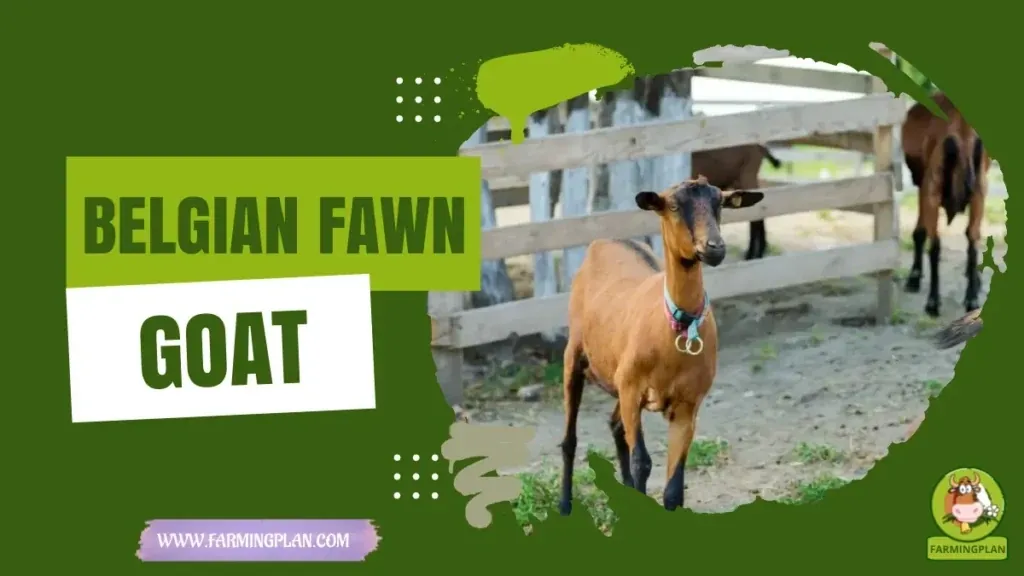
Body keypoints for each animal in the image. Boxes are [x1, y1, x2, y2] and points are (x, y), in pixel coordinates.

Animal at [558, 177, 764, 514]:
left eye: (720, 203)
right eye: (674, 206)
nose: (715, 247)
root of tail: (606, 241)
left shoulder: (687, 405)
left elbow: (674, 488)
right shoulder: (632, 390)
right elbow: (642, 461)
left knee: (615, 427)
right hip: (575, 358)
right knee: (570, 439)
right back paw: (564, 506)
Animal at [902, 92, 991, 317]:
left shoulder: (978, 194)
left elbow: (972, 239)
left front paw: (971, 297)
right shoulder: (930, 192)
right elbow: (934, 245)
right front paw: (932, 301)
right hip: (923, 186)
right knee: (922, 232)